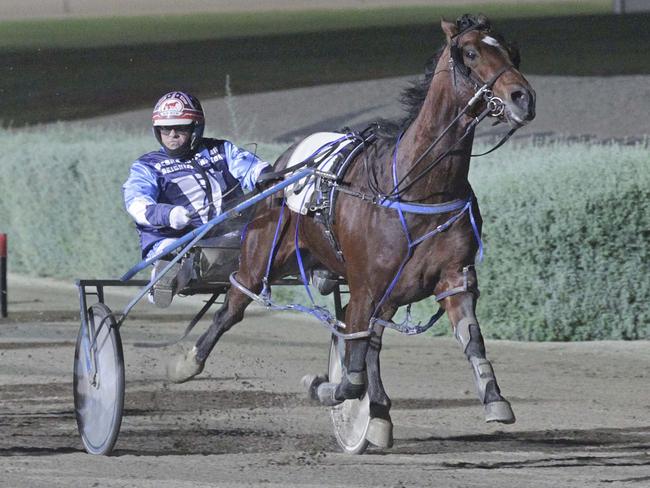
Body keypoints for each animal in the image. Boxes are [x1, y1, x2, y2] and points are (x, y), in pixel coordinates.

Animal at [165, 14, 536, 450]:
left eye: (511, 51)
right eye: (472, 53)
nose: (523, 97)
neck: (413, 185)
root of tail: (284, 165)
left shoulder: (453, 278)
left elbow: (467, 338)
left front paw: (495, 399)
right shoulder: (365, 285)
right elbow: (351, 371)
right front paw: (322, 387)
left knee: (370, 343)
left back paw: (379, 415)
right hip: (261, 255)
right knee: (234, 303)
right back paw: (188, 362)